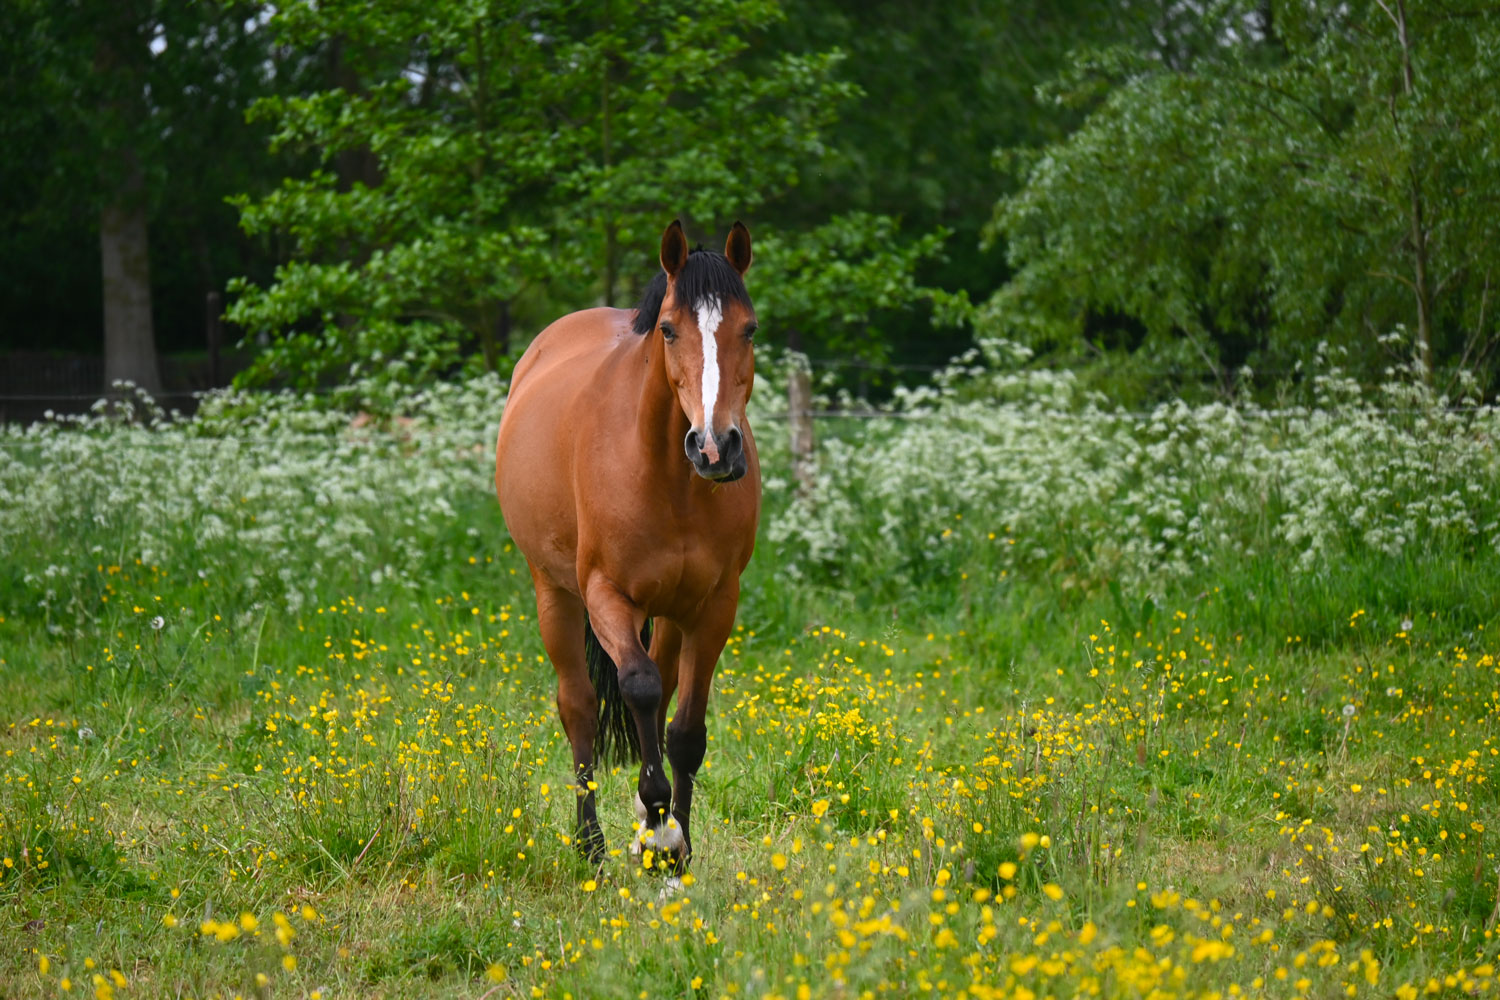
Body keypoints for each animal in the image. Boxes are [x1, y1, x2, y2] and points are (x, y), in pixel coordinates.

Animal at [498, 218, 762, 869]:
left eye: (749, 328)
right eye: (669, 329)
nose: (715, 448)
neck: (669, 478)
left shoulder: (714, 606)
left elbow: (685, 729)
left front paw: (673, 846)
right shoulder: (606, 596)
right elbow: (636, 687)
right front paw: (661, 828)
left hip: (667, 612)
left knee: (661, 699)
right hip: (556, 596)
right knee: (581, 707)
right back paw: (590, 844)